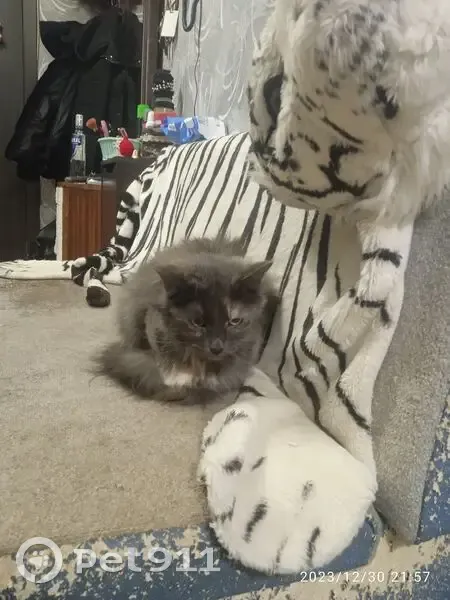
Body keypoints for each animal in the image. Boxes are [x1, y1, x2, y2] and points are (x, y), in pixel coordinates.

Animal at [97, 237, 278, 403]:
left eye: (234, 321)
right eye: (197, 323)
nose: (216, 348)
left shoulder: (250, 344)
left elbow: (228, 371)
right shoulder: (152, 325)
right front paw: (179, 380)